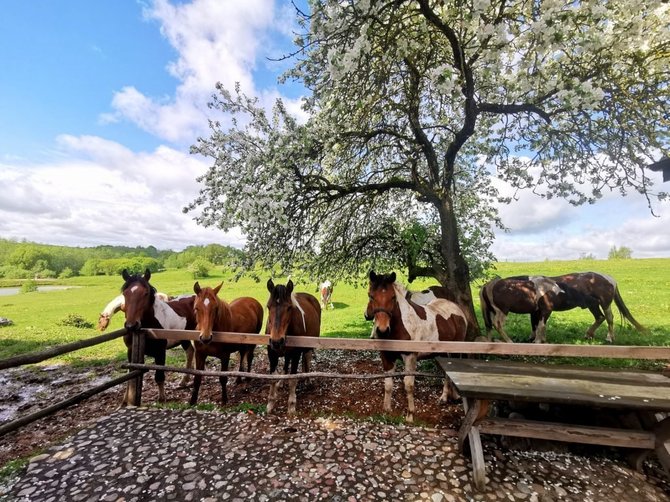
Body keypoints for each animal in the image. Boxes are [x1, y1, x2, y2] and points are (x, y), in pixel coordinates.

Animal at [121, 268, 197, 406]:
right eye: (125, 293)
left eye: (145, 293)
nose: (131, 325)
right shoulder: (130, 351)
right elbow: (131, 374)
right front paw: (125, 400)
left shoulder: (160, 352)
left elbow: (159, 376)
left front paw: (162, 398)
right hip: (184, 337)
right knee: (190, 351)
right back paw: (184, 381)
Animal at [266, 278, 322, 416]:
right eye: (268, 306)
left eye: (289, 308)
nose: (276, 341)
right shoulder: (272, 354)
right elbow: (272, 378)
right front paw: (270, 403)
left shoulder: (296, 353)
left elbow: (293, 379)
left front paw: (291, 405)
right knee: (287, 362)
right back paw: (282, 381)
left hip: (308, 347)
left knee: (306, 360)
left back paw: (307, 379)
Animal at [368, 270, 468, 424]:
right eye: (371, 296)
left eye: (392, 297)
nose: (382, 330)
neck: (401, 326)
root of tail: (456, 309)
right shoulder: (386, 356)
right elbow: (388, 384)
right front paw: (386, 411)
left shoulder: (410, 357)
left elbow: (409, 385)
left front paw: (410, 415)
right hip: (442, 353)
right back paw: (444, 397)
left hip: (455, 351)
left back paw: (455, 396)